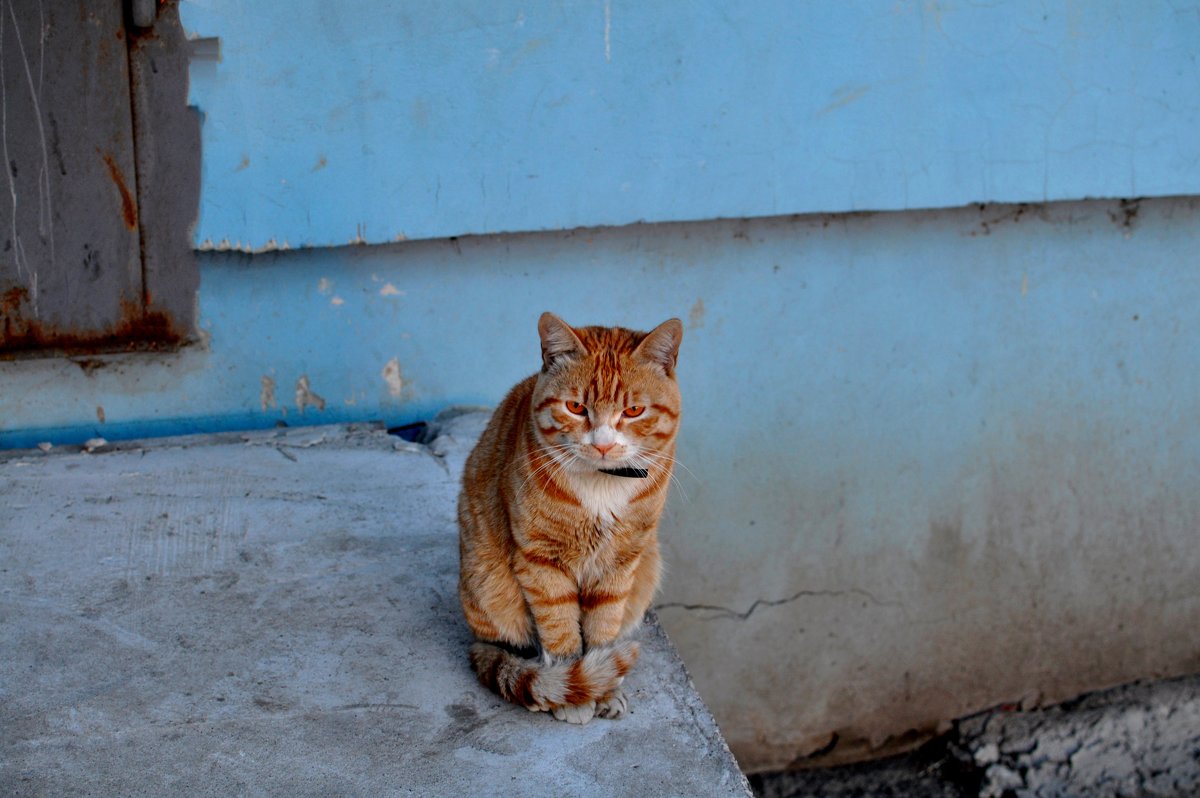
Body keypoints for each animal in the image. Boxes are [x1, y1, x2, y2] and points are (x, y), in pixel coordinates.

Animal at [458, 312, 681, 720]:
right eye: (576, 408)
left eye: (633, 411)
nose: (604, 444)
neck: (603, 483)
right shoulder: (540, 560)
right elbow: (559, 628)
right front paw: (573, 691)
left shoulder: (620, 562)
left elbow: (603, 628)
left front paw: (603, 686)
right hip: (488, 583)